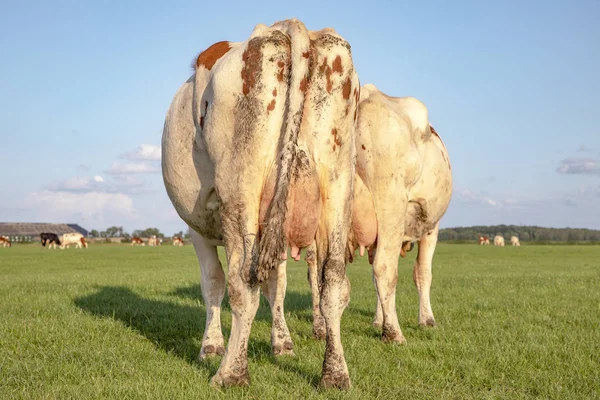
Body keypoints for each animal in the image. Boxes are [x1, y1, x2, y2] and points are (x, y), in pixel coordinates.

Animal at [162, 18, 358, 388]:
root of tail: (285, 29)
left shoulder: (197, 226)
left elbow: (213, 283)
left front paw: (210, 347)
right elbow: (277, 286)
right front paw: (282, 344)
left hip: (241, 187)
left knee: (243, 284)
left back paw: (230, 373)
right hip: (338, 182)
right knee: (334, 282)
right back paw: (335, 375)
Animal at [304, 83, 454, 344]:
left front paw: (377, 319)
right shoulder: (431, 225)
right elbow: (423, 273)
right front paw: (426, 320)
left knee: (316, 271)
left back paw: (320, 328)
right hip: (390, 203)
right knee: (385, 268)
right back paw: (394, 333)